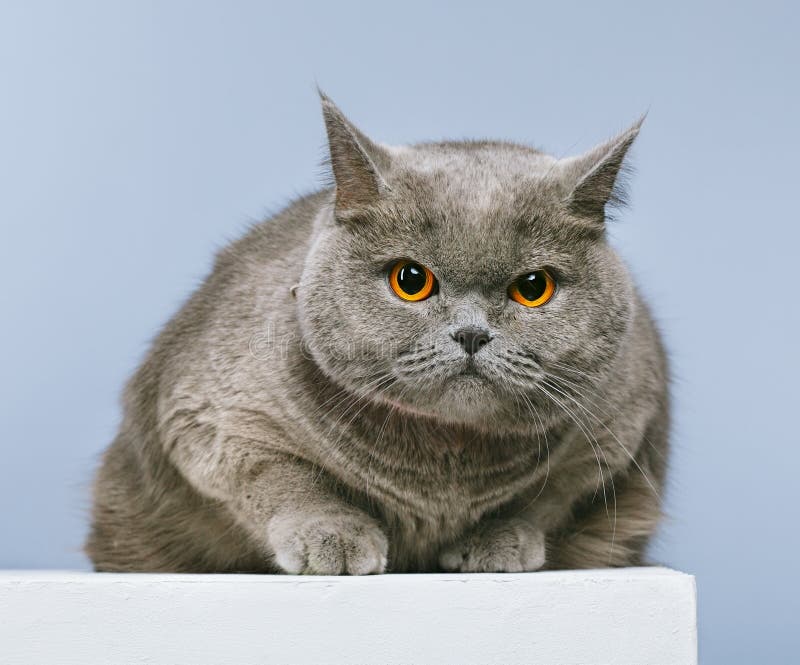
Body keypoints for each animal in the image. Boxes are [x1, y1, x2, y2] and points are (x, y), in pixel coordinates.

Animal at [86, 94, 668, 576]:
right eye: (410, 280)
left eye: (532, 288)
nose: (471, 334)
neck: (444, 464)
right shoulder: (213, 418)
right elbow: (281, 477)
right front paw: (333, 536)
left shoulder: (617, 428)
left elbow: (547, 499)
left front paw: (498, 541)